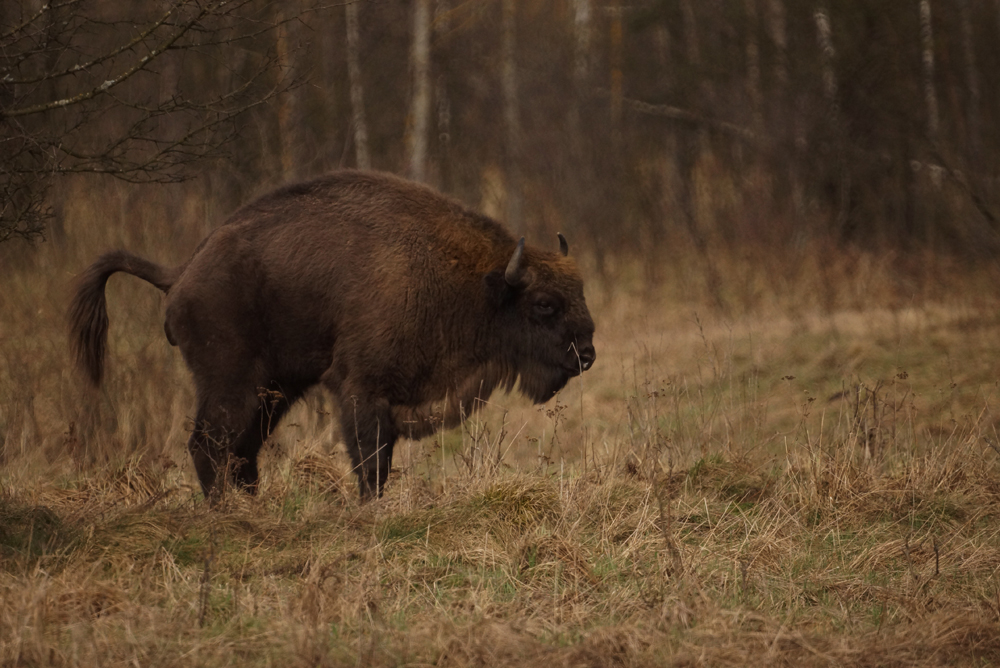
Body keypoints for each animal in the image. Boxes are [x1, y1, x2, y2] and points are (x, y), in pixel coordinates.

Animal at [72, 171, 600, 500]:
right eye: (544, 304)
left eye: (579, 291)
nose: (588, 354)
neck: (478, 283)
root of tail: (181, 272)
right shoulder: (363, 391)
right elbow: (370, 461)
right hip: (231, 385)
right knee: (210, 446)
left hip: (274, 392)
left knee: (242, 452)